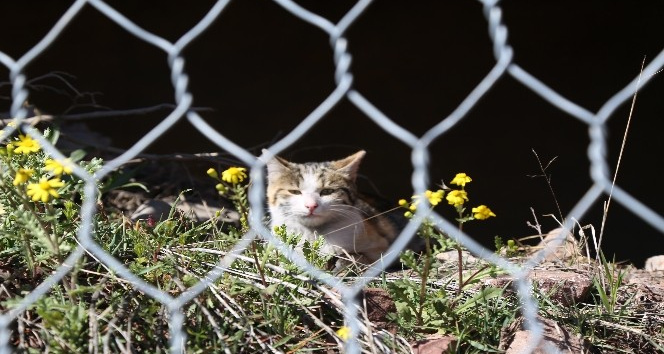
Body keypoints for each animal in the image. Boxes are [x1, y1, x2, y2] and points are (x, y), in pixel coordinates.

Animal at [264, 150, 400, 268]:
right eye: (295, 192)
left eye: (327, 191)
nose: (311, 205)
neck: (315, 233)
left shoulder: (381, 246)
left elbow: (362, 257)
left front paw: (343, 262)